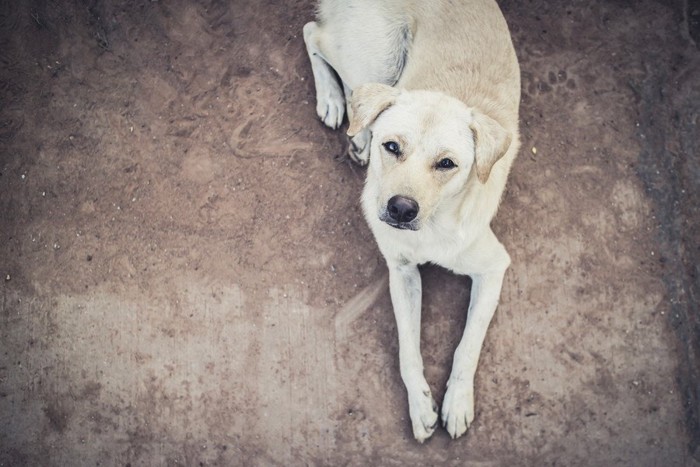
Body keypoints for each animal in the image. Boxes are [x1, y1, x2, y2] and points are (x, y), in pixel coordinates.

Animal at [304, 0, 524, 442]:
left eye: (447, 164)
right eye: (393, 147)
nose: (400, 209)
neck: (434, 228)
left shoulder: (494, 267)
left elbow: (468, 345)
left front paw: (456, 402)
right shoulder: (402, 271)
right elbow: (408, 350)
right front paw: (421, 407)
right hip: (375, 57)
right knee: (313, 34)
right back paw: (336, 104)